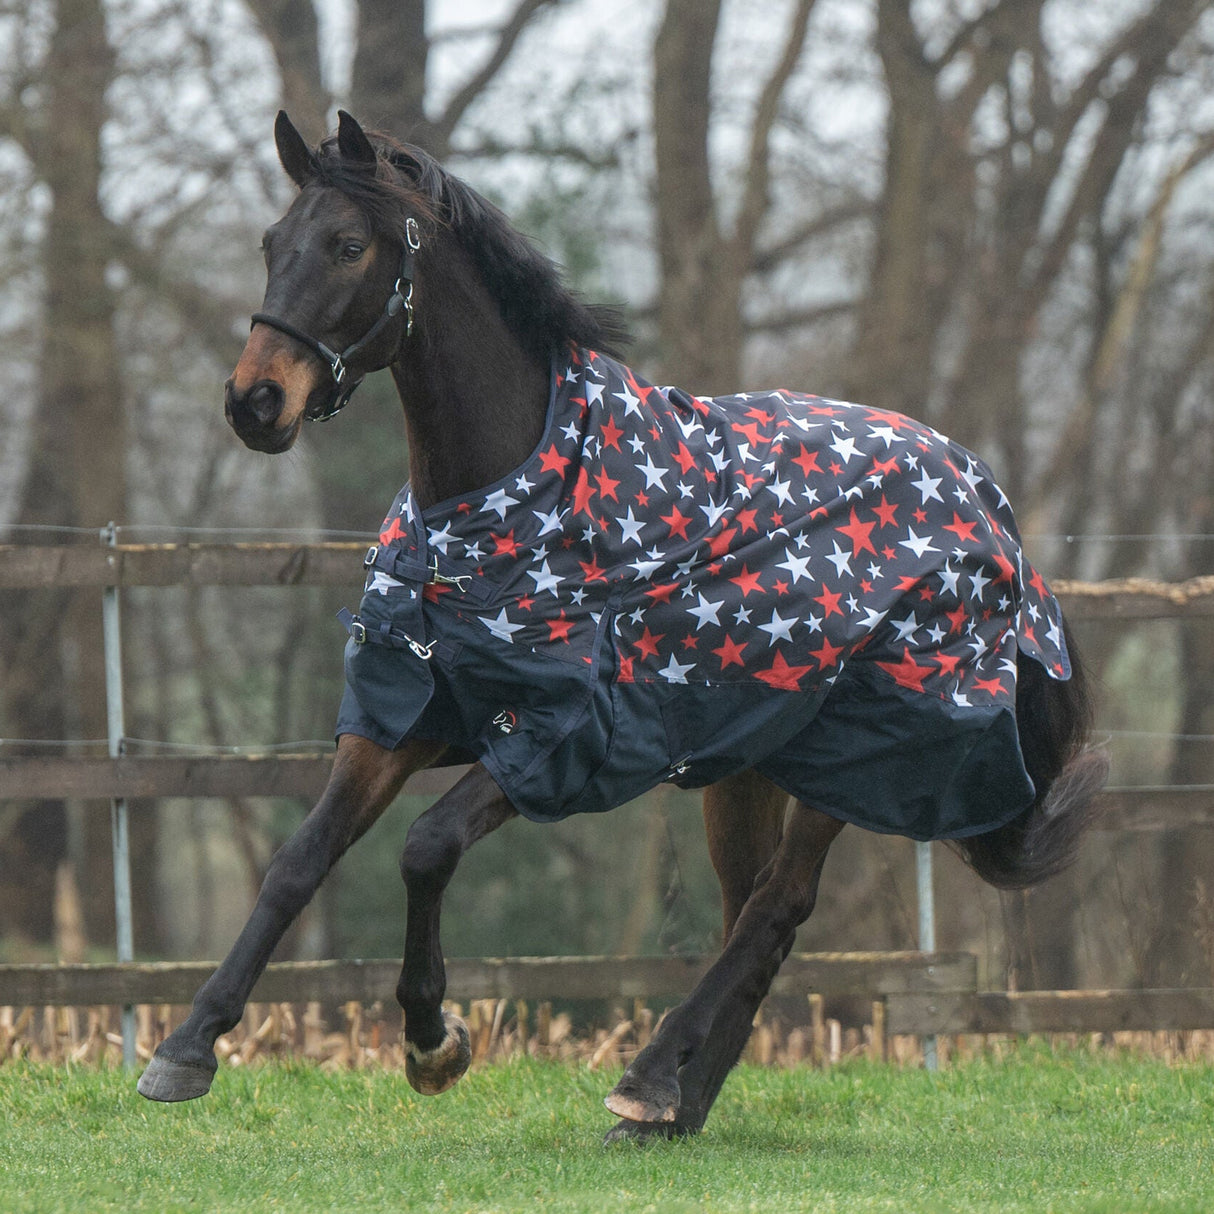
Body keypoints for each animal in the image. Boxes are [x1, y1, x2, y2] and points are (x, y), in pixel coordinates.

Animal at [137, 111, 1107, 1136]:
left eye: (349, 245)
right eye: (270, 243)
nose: (254, 402)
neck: (507, 505)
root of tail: (988, 504)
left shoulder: (563, 737)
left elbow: (426, 846)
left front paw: (434, 1042)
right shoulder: (410, 711)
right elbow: (300, 860)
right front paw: (187, 1046)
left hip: (859, 756)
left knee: (776, 906)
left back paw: (647, 1080)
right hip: (751, 760)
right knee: (753, 914)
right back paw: (674, 1103)